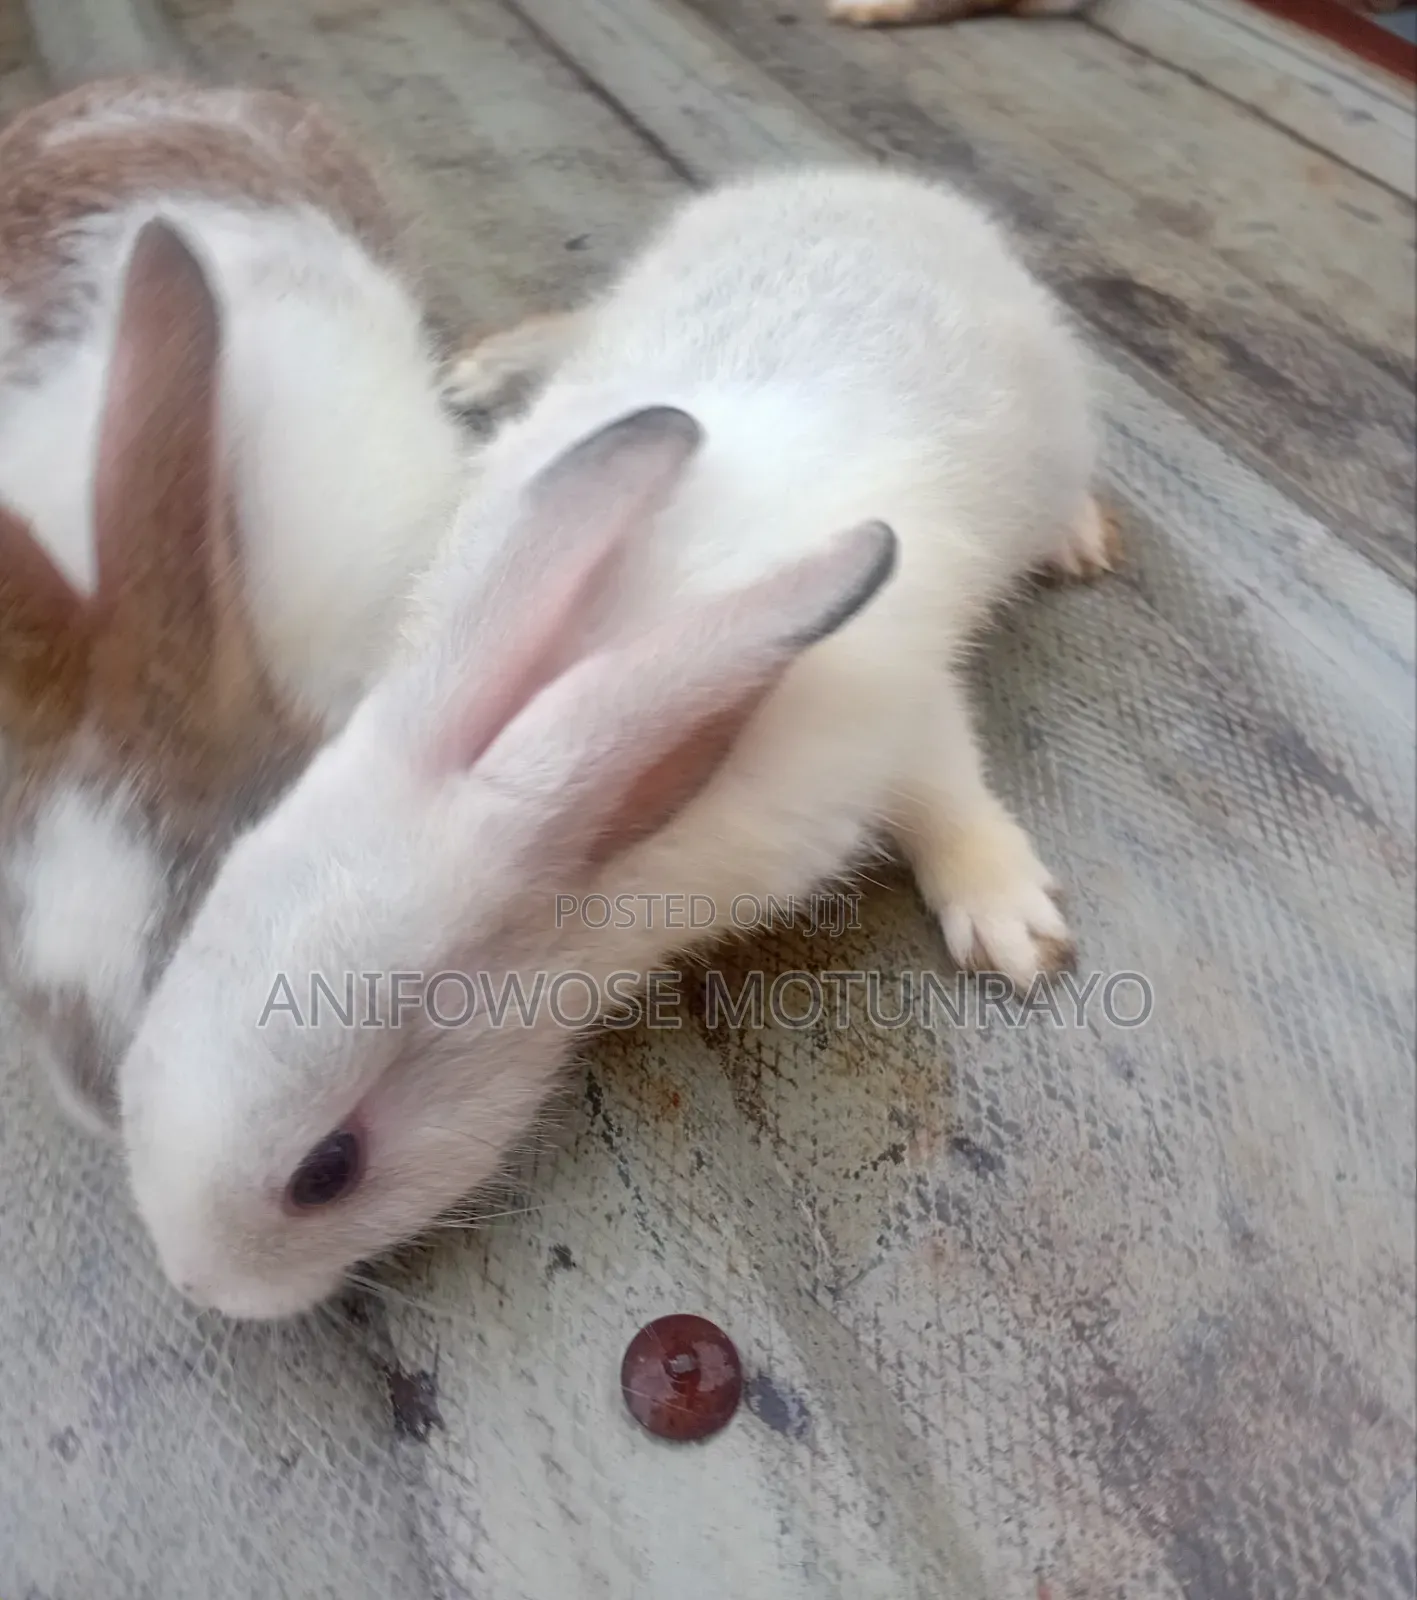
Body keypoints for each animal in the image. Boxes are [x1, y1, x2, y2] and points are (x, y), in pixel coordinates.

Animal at [115, 162, 1117, 1320]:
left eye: (328, 1170)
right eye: (142, 1045)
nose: (199, 1284)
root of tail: (884, 188)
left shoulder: (889, 714)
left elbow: (949, 793)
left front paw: (1010, 924)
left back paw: (1079, 537)